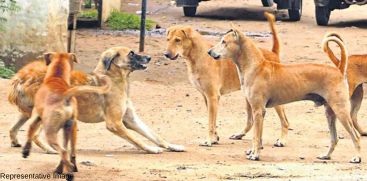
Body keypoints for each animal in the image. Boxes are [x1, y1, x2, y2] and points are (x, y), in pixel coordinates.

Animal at [7, 46, 187, 154]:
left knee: (13, 128)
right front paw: (150, 148)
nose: (149, 57)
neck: (115, 78)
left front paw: (173, 146)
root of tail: (21, 77)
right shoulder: (115, 123)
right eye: (131, 53)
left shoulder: (130, 119)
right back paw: (51, 150)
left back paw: (16, 142)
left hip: (28, 112)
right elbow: (136, 139)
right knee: (35, 135)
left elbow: (155, 135)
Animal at [165, 11, 290, 147]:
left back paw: (282, 140)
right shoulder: (206, 97)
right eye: (168, 40)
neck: (198, 56)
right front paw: (215, 138)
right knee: (251, 121)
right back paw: (240, 134)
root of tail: (273, 53)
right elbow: (213, 121)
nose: (166, 54)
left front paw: (209, 140)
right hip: (248, 98)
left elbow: (210, 122)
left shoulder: (212, 97)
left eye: (178, 40)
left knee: (285, 121)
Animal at [208, 26, 364, 163]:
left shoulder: (258, 110)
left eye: (224, 42)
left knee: (355, 136)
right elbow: (258, 136)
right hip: (330, 112)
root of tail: (339, 69)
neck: (255, 66)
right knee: (334, 138)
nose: (209, 52)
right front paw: (254, 151)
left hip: (341, 110)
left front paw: (255, 155)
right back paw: (326, 155)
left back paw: (357, 158)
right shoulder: (259, 112)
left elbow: (256, 137)